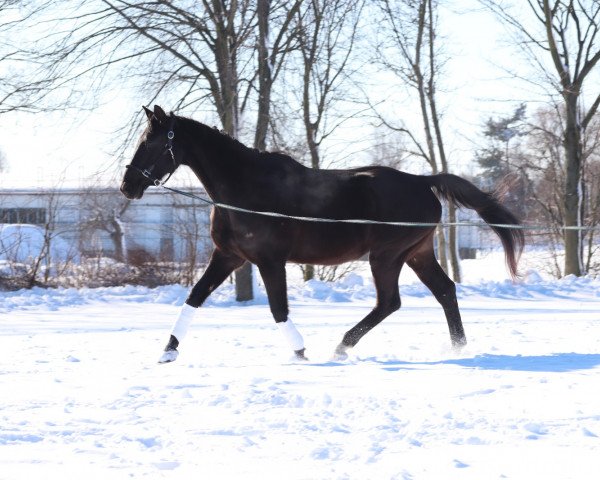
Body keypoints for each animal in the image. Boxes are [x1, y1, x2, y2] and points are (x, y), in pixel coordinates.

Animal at [119, 104, 524, 360]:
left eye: (153, 142)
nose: (127, 186)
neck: (244, 188)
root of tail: (423, 181)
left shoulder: (269, 260)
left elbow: (278, 308)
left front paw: (300, 350)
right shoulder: (229, 257)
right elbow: (194, 296)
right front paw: (168, 350)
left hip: (388, 255)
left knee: (390, 302)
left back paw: (343, 346)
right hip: (416, 253)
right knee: (445, 291)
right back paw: (457, 347)